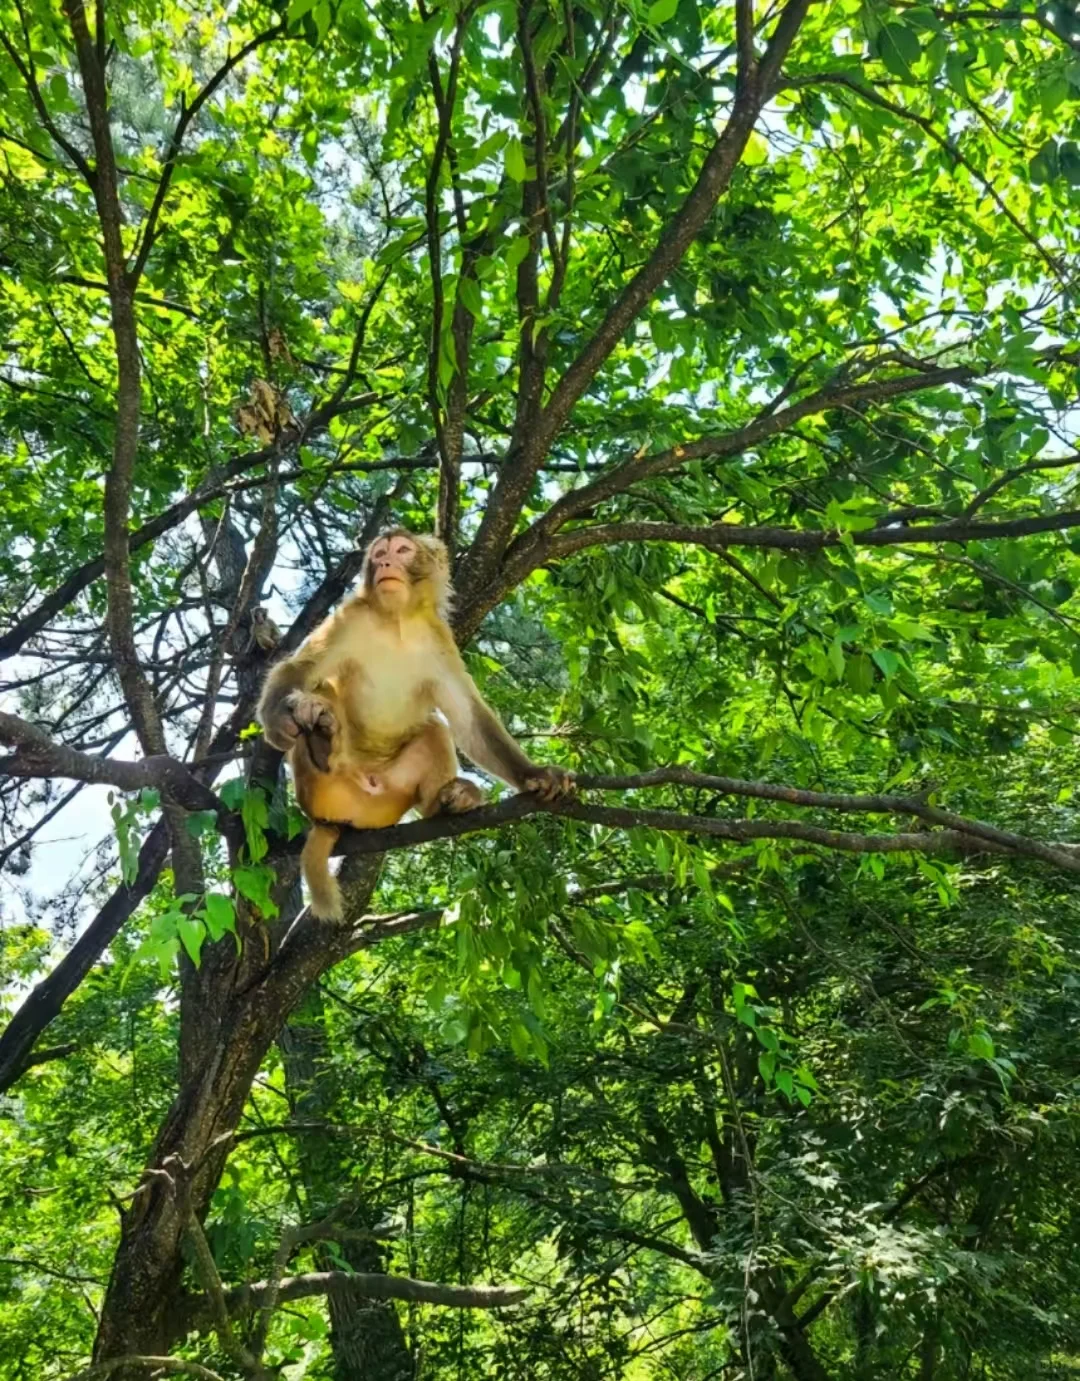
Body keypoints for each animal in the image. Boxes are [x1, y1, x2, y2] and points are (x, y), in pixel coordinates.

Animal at [259, 524, 580, 916]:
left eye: (401, 550)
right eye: (380, 552)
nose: (385, 562)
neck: (396, 621)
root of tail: (341, 818)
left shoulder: (439, 637)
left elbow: (468, 716)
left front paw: (535, 775)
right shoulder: (351, 617)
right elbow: (299, 669)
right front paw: (278, 720)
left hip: (390, 800)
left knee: (435, 727)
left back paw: (447, 802)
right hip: (320, 791)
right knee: (321, 690)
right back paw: (320, 742)